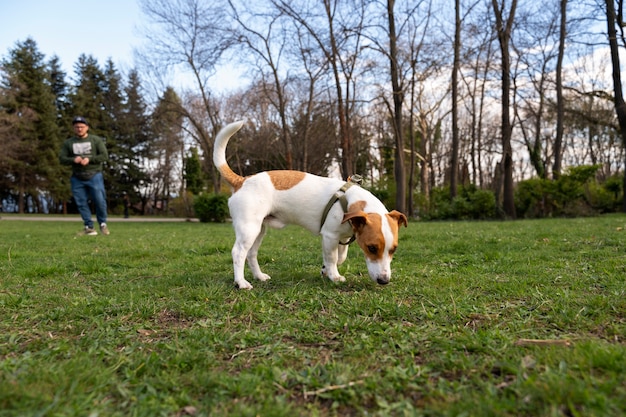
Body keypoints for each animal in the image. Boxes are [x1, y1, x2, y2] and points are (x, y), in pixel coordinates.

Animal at [212, 120, 408, 290]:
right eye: (372, 248)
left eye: (394, 249)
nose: (384, 280)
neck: (349, 201)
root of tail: (242, 180)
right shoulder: (329, 236)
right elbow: (332, 257)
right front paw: (334, 275)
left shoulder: (342, 238)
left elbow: (340, 257)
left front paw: (326, 269)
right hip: (249, 229)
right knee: (238, 253)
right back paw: (241, 282)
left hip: (259, 230)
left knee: (251, 254)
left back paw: (259, 276)